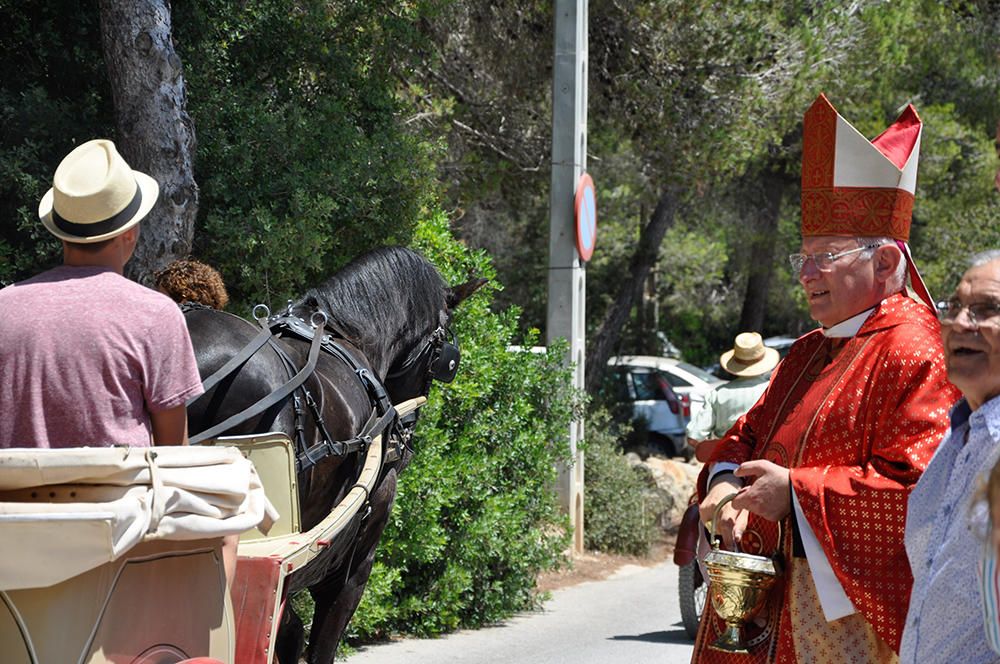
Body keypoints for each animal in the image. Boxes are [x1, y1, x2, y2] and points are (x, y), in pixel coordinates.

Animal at [182, 248, 482, 664]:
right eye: (443, 356)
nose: (402, 439)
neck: (345, 334)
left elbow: (288, 632)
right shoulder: (351, 566)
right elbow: (313, 641)